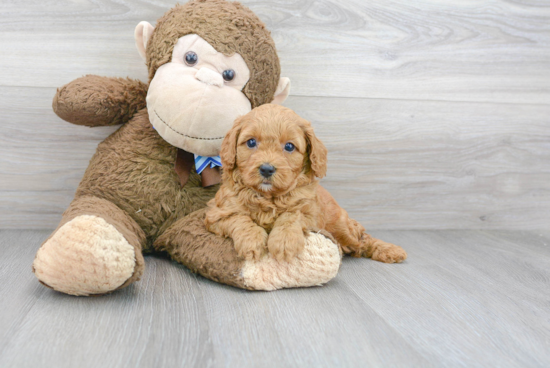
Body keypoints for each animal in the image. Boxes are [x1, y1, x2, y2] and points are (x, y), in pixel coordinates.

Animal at [205, 105, 408, 264]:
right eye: (251, 142)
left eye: (289, 146)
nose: (267, 169)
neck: (269, 197)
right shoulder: (217, 213)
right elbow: (239, 218)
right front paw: (251, 241)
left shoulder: (311, 213)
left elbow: (292, 215)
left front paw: (284, 242)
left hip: (343, 228)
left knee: (363, 239)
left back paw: (390, 250)